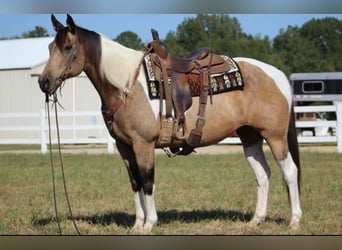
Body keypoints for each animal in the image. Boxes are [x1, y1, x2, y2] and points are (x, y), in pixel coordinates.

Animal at [38, 14, 302, 231]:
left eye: (68, 47)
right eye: (50, 47)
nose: (44, 82)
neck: (127, 85)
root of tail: (278, 75)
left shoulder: (143, 144)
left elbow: (147, 182)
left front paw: (149, 223)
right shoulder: (125, 147)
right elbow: (135, 183)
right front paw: (137, 224)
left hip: (275, 136)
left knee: (289, 171)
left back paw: (294, 221)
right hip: (250, 136)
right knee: (263, 173)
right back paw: (256, 220)